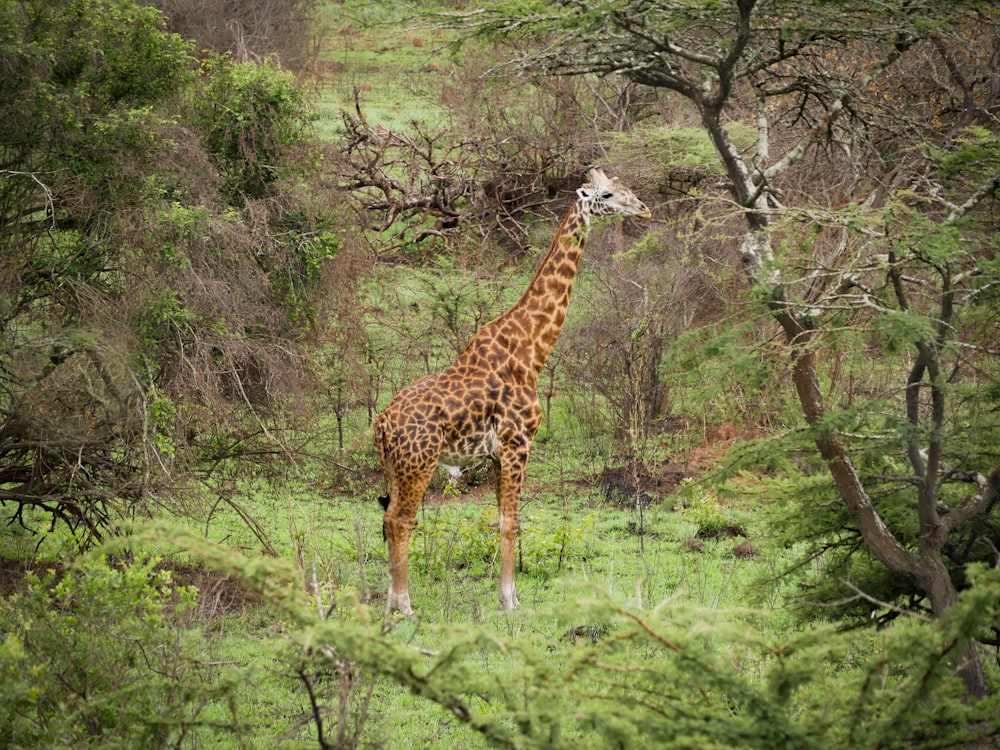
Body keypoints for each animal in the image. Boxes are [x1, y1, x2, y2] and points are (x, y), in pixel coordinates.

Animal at [374, 169, 648, 616]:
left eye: (626, 188)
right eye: (607, 195)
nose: (643, 208)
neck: (531, 349)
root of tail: (380, 424)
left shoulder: (498, 453)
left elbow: (502, 516)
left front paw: (510, 595)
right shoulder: (518, 442)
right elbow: (511, 520)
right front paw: (509, 599)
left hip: (395, 467)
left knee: (387, 517)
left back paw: (388, 604)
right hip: (420, 463)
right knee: (401, 520)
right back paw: (406, 606)